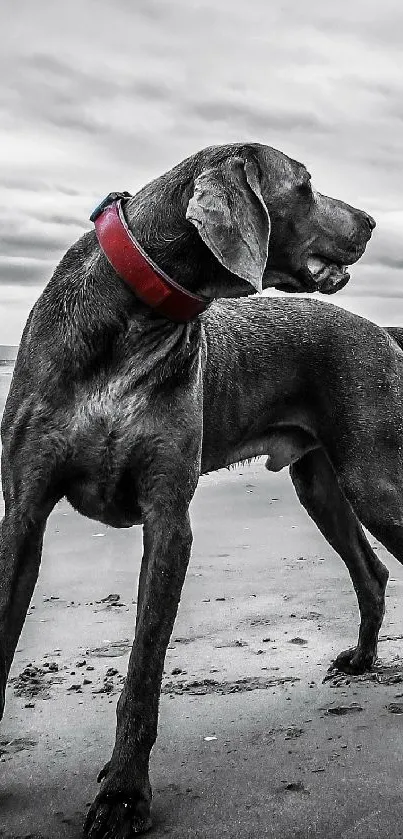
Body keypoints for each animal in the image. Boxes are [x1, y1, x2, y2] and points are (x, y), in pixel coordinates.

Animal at [3, 141, 400, 836]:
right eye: (305, 185)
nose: (374, 222)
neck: (136, 321)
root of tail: (383, 332)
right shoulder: (23, 512)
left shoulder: (168, 519)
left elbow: (142, 671)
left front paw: (123, 796)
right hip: (322, 484)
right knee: (371, 571)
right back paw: (359, 659)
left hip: (375, 478)